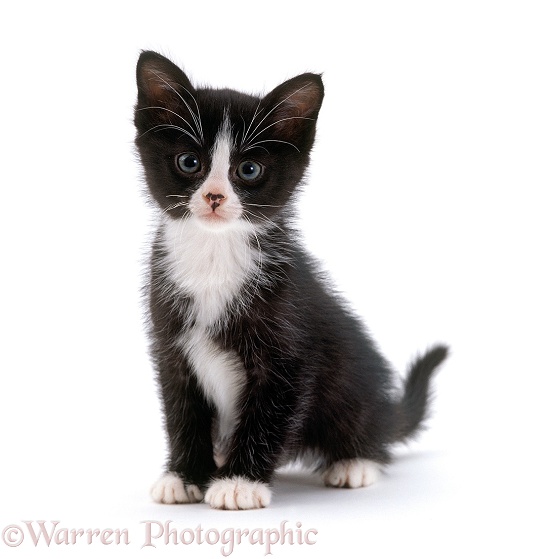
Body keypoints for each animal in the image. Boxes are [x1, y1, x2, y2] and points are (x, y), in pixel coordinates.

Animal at [134, 50, 450, 510]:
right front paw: (185, 476)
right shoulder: (170, 342)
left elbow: (269, 413)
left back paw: (355, 462)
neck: (214, 255)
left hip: (350, 377)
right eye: (189, 162)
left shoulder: (290, 347)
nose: (214, 196)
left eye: (248, 169)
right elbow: (181, 410)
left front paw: (239, 483)